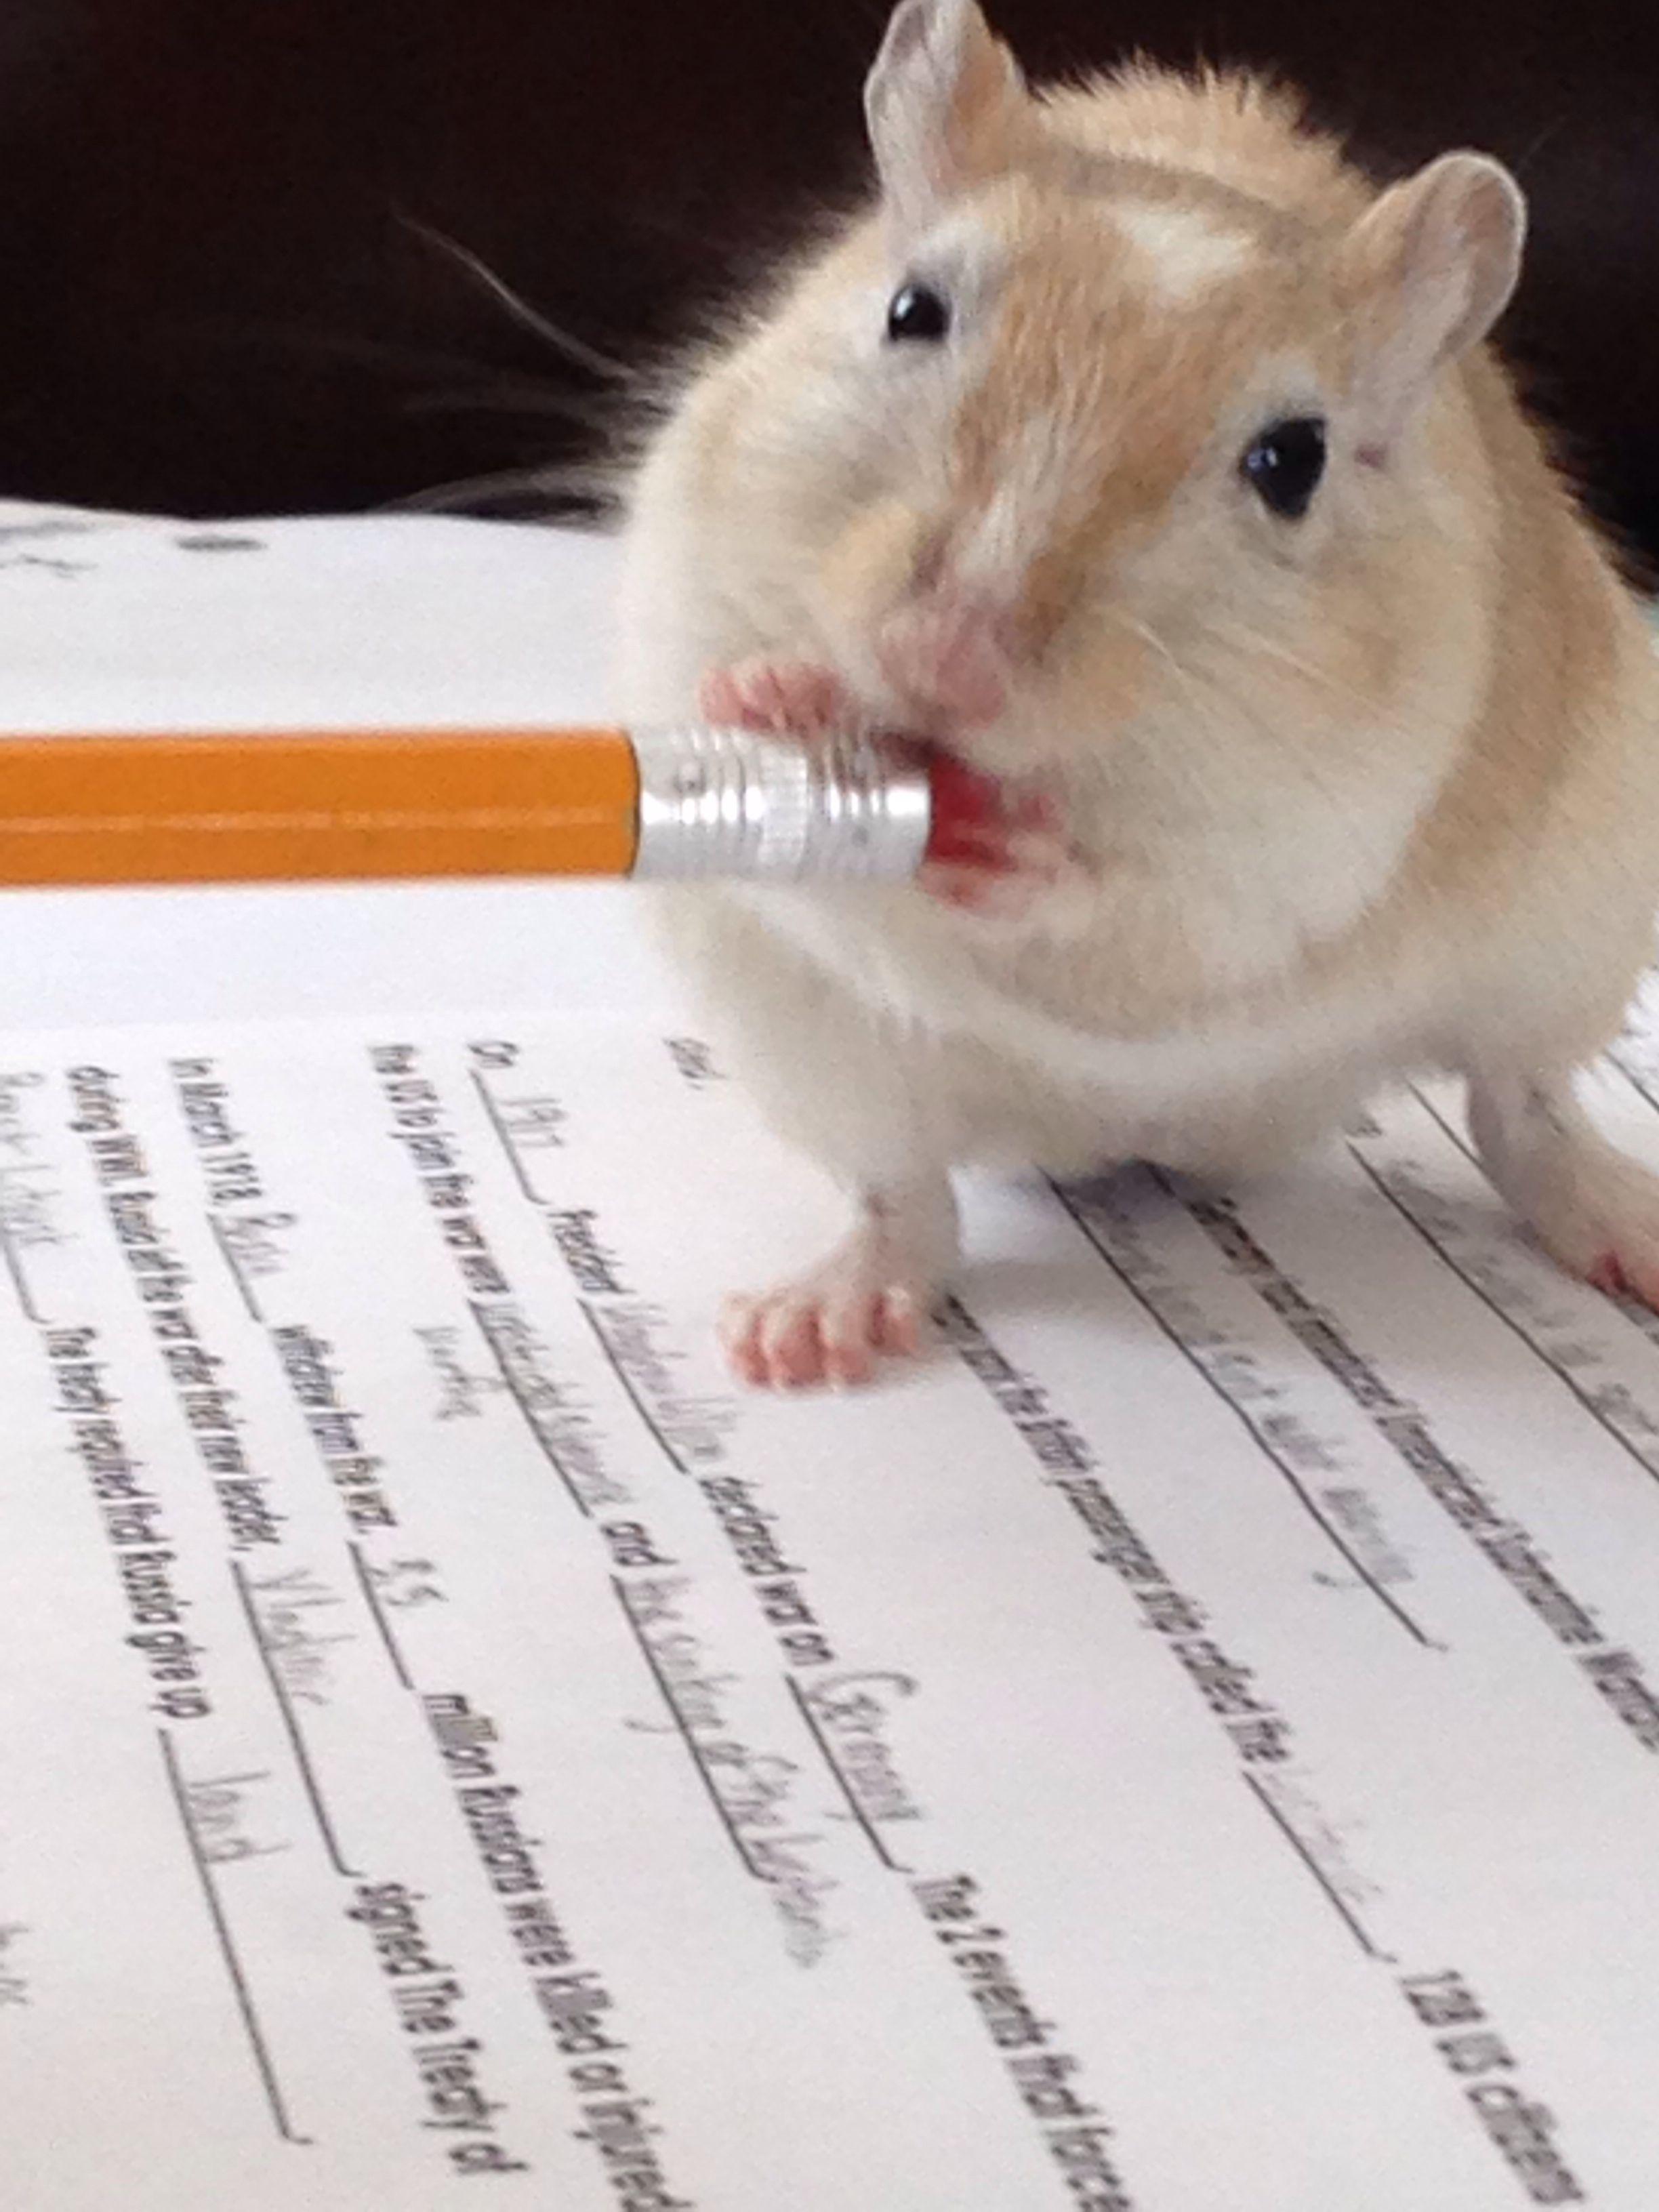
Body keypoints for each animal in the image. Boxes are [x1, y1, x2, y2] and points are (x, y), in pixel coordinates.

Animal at [614, 0, 1659, 1389]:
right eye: (910, 310)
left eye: (1293, 460)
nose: (944, 656)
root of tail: (1163, 1137)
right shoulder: (687, 575)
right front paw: (773, 692)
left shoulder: (1300, 848)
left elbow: (1155, 920)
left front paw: (1027, 862)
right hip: (805, 1045)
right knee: (905, 1203)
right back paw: (809, 1330)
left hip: (1568, 949)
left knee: (1520, 1109)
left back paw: (1631, 1234)